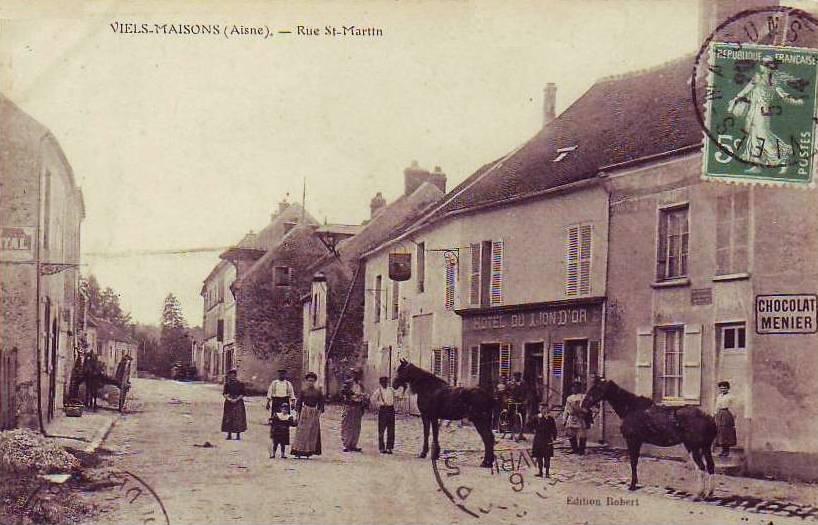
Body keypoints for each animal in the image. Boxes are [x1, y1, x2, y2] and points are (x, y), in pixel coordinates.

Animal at [580, 376, 712, 496]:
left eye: (597, 388)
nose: (584, 405)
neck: (631, 408)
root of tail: (708, 417)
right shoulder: (637, 441)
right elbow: (635, 462)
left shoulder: (632, 441)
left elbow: (633, 462)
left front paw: (632, 485)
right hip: (704, 448)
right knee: (710, 467)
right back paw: (709, 493)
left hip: (693, 447)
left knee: (701, 467)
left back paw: (700, 494)